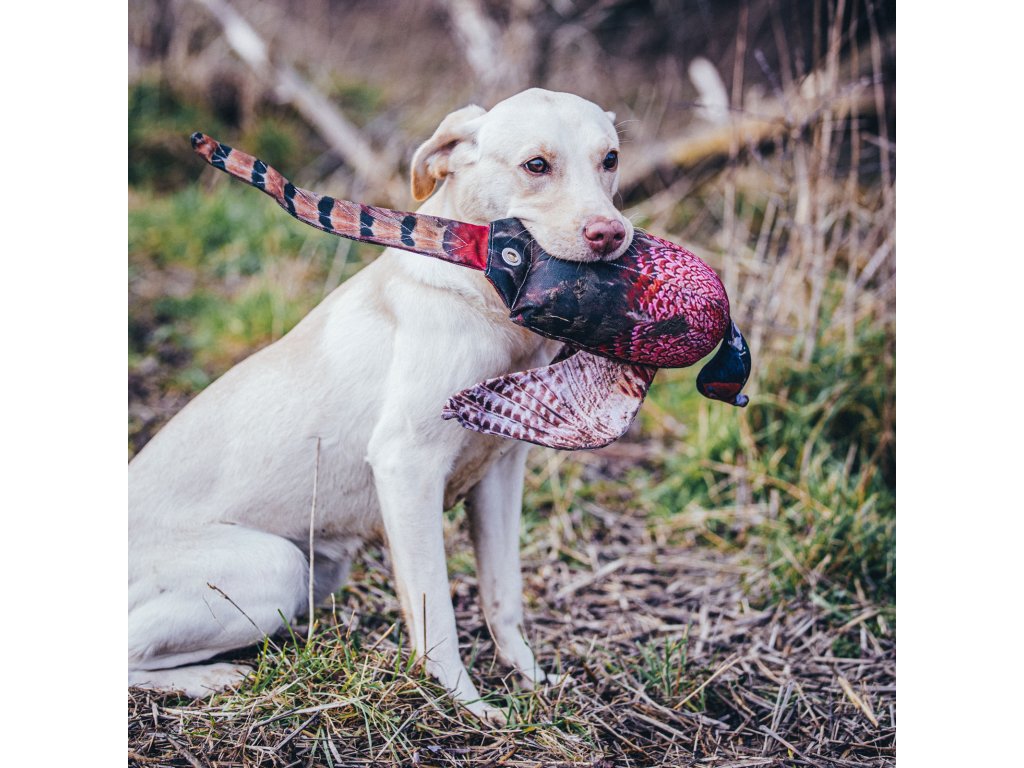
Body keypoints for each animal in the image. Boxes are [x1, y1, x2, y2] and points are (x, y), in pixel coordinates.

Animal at [128, 88, 633, 724]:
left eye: (609, 159)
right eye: (536, 165)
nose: (611, 235)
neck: (483, 303)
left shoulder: (499, 474)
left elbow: (504, 595)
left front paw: (533, 680)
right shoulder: (406, 467)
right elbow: (436, 614)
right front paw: (467, 706)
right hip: (276, 568)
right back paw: (210, 678)